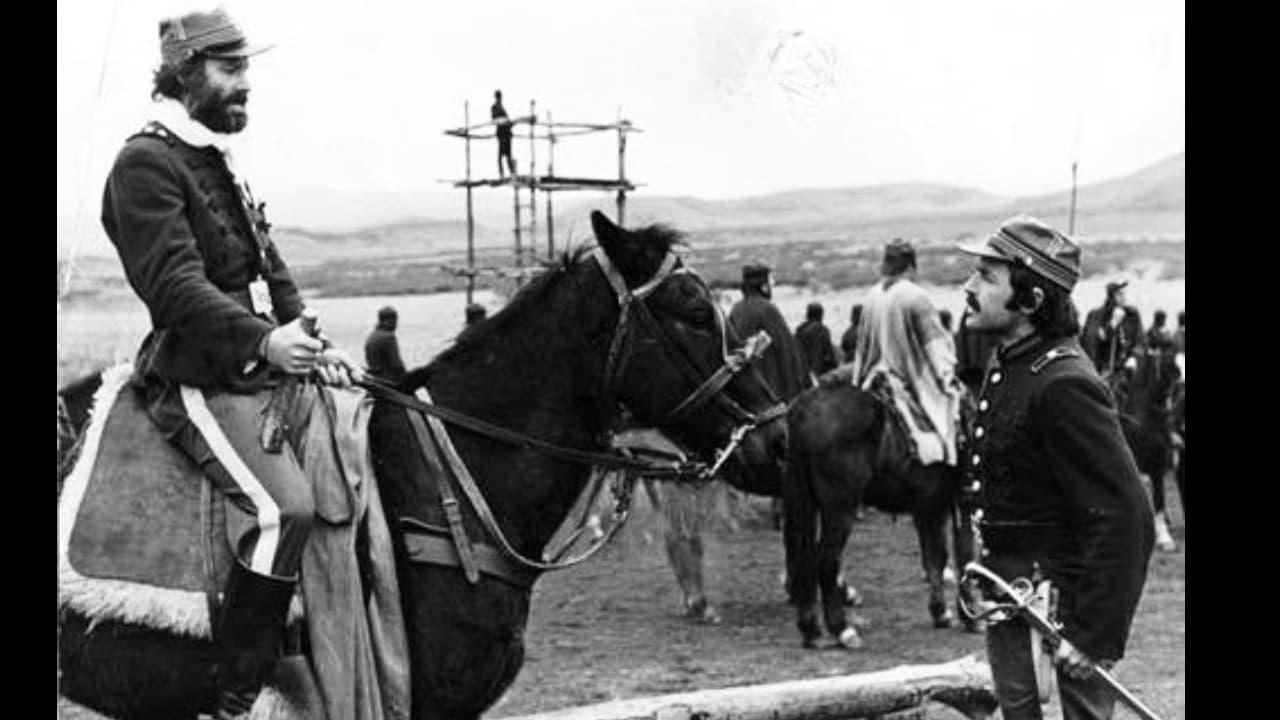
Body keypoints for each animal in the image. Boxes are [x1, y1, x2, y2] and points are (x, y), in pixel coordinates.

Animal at [773, 366, 972, 648]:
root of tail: (805, 408)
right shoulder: (957, 501)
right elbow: (962, 554)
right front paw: (968, 615)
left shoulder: (928, 507)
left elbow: (935, 557)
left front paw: (941, 612)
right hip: (840, 509)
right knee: (826, 561)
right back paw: (841, 628)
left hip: (805, 502)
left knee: (803, 559)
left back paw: (810, 628)